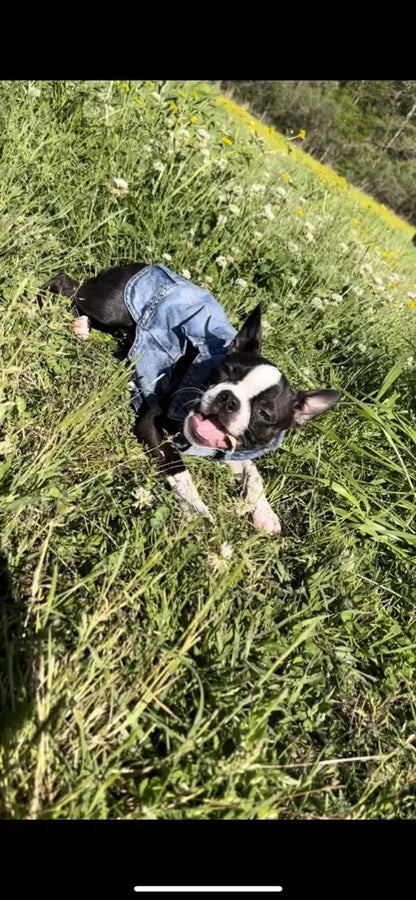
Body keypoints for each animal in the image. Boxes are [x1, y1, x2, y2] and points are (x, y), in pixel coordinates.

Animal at [35, 264, 342, 536]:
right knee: (68, 285)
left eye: (265, 414)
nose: (229, 398)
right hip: (109, 307)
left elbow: (254, 473)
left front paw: (265, 512)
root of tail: (142, 265)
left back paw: (83, 327)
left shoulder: (227, 449)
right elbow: (179, 467)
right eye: (225, 371)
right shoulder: (151, 424)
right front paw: (196, 509)